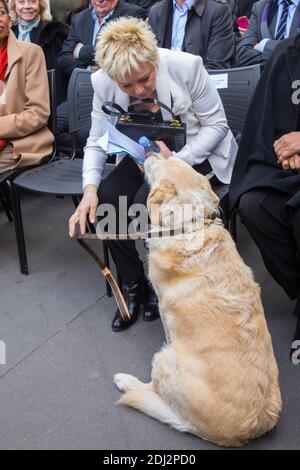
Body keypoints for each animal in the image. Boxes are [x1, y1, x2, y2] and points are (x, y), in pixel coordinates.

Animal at [113, 155, 282, 448]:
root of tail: (249, 430)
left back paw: (125, 381)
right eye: (172, 156)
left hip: (163, 360)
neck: (189, 222)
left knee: (151, 390)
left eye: (164, 160)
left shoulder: (163, 307)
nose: (151, 152)